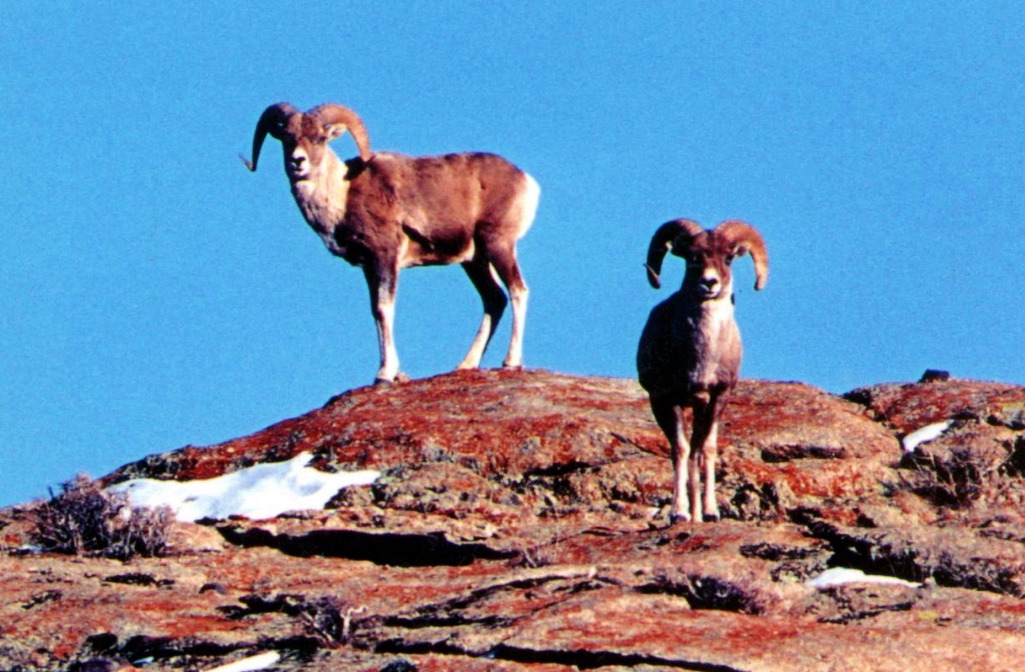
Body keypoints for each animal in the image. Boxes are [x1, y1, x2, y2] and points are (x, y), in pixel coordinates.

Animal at [243, 100, 541, 383]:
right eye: (287, 138)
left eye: (319, 138)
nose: (298, 162)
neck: (342, 195)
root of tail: (527, 182)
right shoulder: (369, 267)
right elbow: (375, 311)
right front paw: (394, 374)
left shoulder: (385, 256)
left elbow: (384, 309)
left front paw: (385, 375)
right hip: (474, 261)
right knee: (494, 299)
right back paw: (465, 365)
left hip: (498, 246)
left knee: (518, 291)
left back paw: (511, 361)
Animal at [631, 218, 770, 522]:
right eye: (693, 257)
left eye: (728, 258)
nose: (709, 283)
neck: (701, 358)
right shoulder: (665, 399)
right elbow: (680, 449)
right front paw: (678, 513)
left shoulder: (718, 397)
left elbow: (707, 448)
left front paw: (711, 511)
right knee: (689, 453)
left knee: (699, 452)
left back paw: (701, 515)